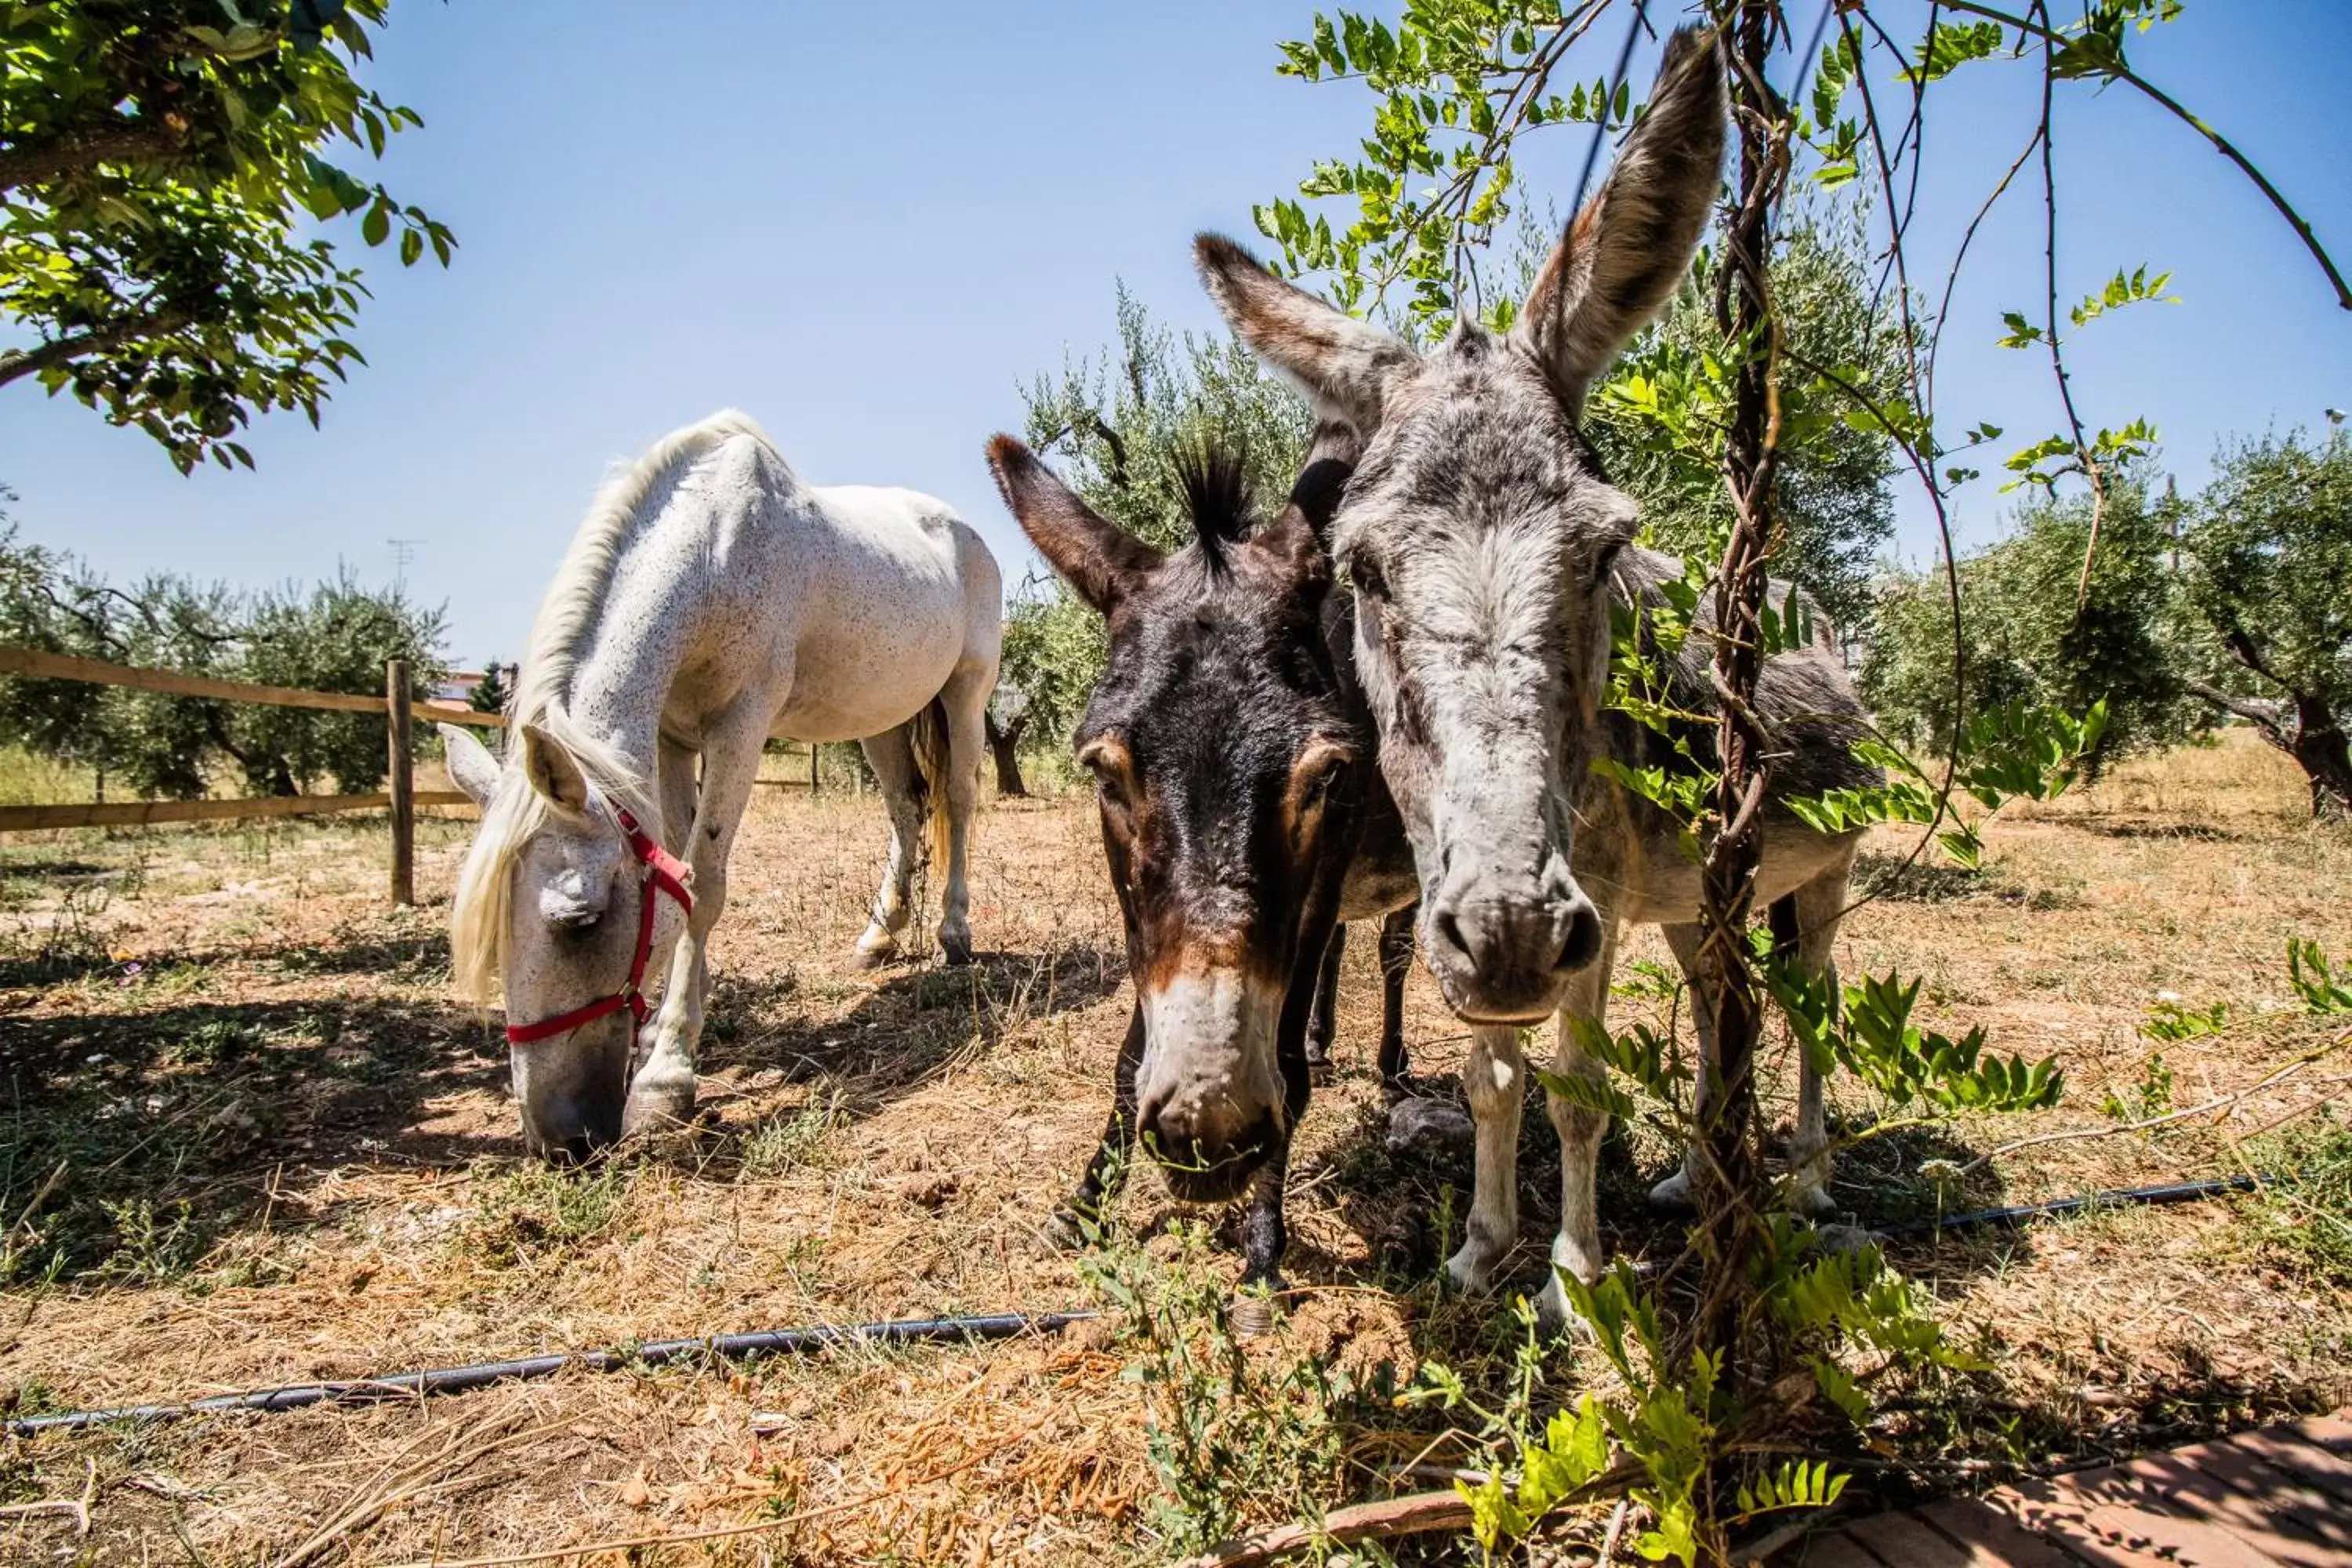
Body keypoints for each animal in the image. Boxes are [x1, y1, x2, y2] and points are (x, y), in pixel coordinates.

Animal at [442, 411, 1002, 1161]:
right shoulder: (673, 739)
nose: (558, 1139)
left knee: (959, 803)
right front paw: (665, 1029)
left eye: (581, 922)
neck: (712, 557)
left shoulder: (740, 726)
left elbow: (704, 882)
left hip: (965, 695)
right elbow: (677, 877)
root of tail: (963, 531)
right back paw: (879, 936)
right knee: (905, 810)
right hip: (881, 718)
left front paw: (665, 1079)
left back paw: (953, 932)